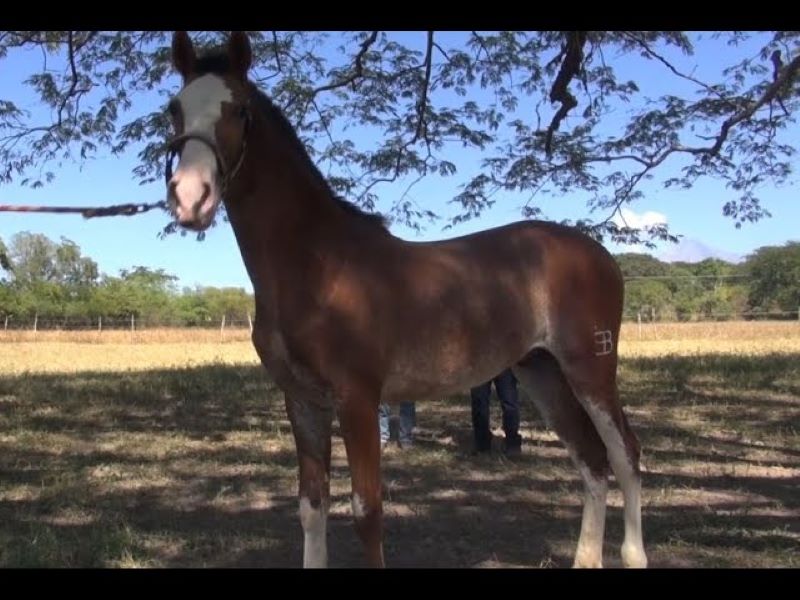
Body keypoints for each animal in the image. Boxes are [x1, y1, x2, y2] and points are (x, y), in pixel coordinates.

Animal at [164, 31, 648, 568]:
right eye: (173, 110)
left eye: (240, 110)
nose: (190, 197)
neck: (318, 264)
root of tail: (599, 254)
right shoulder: (303, 401)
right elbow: (312, 507)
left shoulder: (357, 398)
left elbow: (366, 512)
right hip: (542, 371)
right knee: (591, 459)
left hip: (590, 369)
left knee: (625, 454)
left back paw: (634, 554)